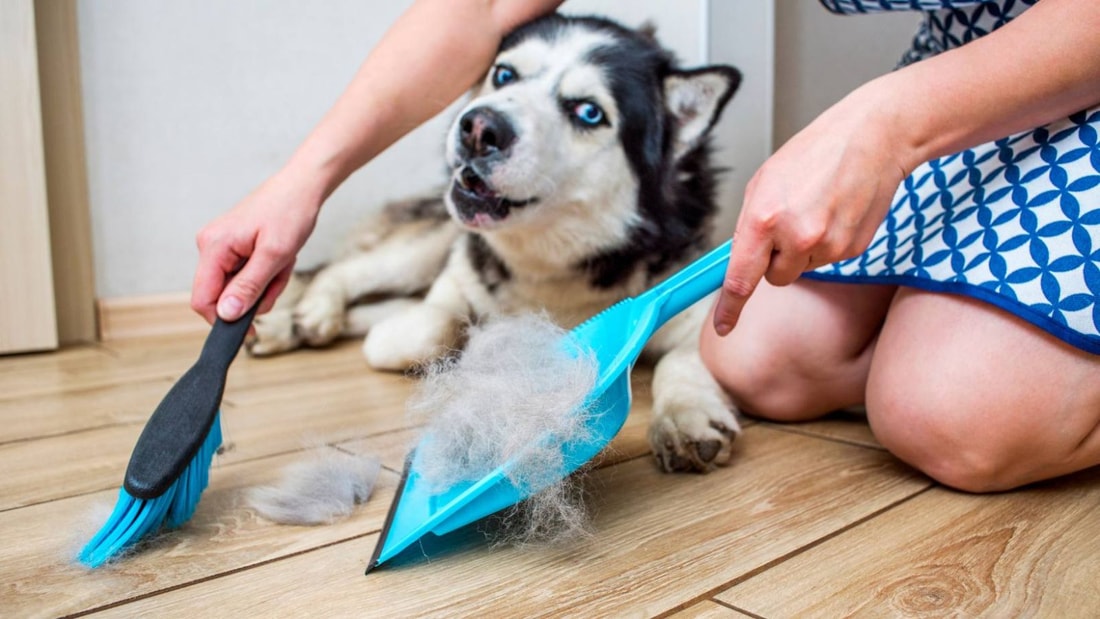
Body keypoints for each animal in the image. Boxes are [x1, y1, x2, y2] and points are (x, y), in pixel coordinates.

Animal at [251, 13, 739, 470]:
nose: (479, 128)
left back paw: (286, 325)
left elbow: (687, 357)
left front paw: (686, 414)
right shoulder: (455, 285)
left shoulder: (691, 304)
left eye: (588, 112)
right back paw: (311, 313)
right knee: (343, 272)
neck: (548, 269)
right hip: (427, 247)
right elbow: (434, 325)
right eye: (504, 74)